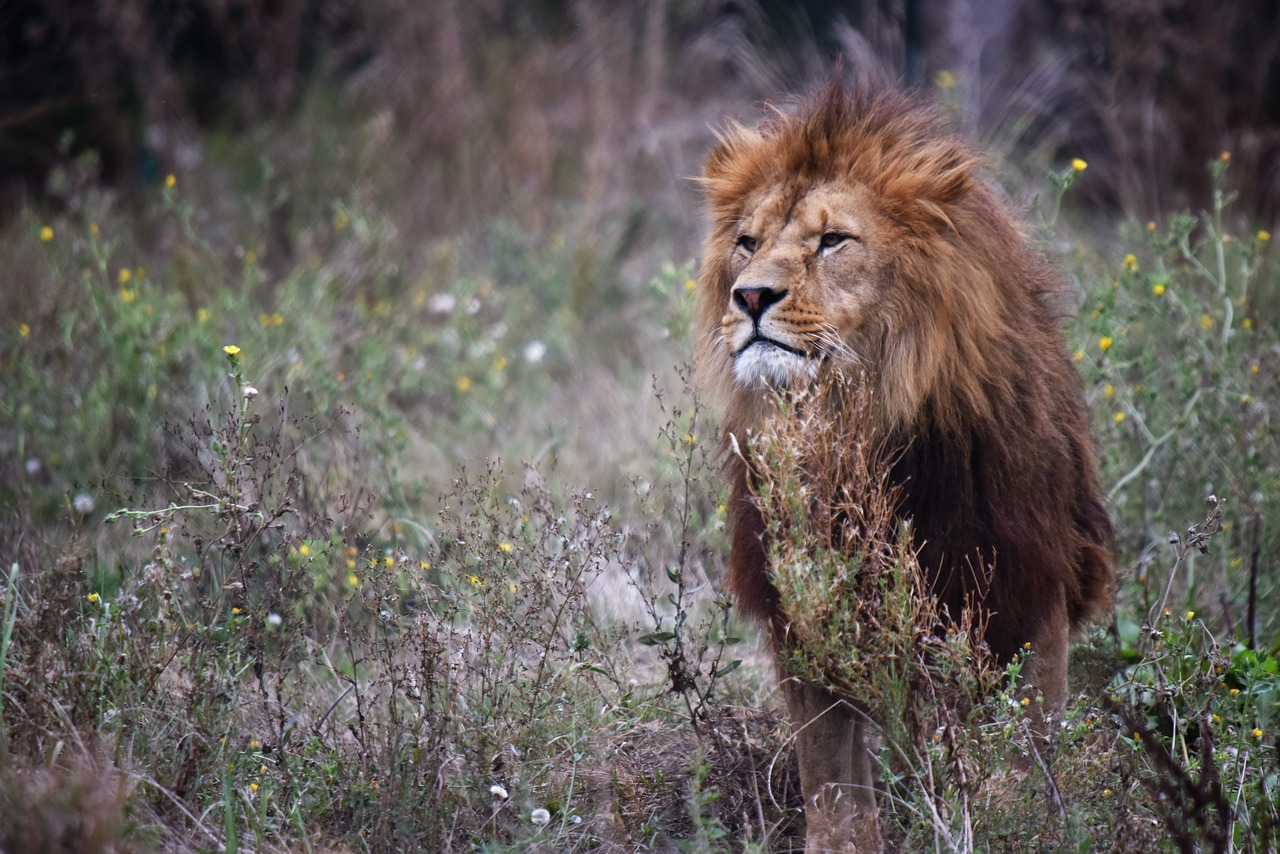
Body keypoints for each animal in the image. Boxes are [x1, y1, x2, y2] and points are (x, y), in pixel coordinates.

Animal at [696, 76, 1116, 850]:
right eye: (747, 243)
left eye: (833, 240)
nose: (750, 296)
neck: (859, 425)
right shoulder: (802, 613)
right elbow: (830, 779)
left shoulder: (1027, 583)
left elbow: (1029, 754)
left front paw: (1024, 824)